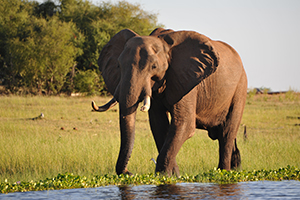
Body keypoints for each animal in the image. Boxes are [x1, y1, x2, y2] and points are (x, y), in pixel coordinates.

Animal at [91, 27, 246, 175]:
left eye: (154, 67)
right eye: (118, 65)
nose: (129, 173)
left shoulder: (187, 81)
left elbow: (184, 124)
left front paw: (163, 175)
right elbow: (159, 125)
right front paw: (173, 176)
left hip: (240, 89)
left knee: (226, 134)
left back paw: (224, 172)